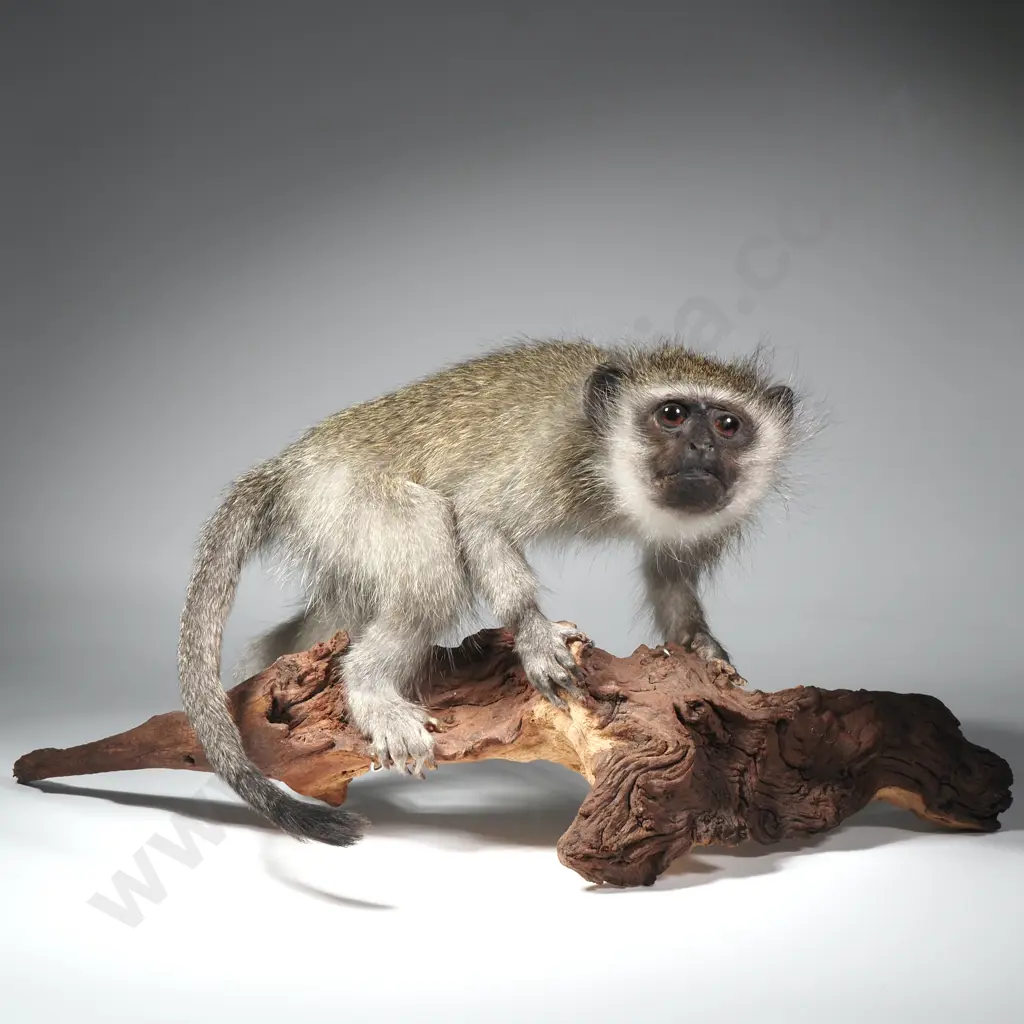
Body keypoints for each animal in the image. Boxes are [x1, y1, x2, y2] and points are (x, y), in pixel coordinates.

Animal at [178, 338, 806, 847]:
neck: (609, 464)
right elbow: (478, 516)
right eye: (673, 415)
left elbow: (670, 575)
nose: (701, 449)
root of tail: (291, 465)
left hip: (331, 521)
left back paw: (270, 677)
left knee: (335, 611)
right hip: (347, 496)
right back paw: (368, 687)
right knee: (432, 557)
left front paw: (700, 648)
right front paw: (534, 635)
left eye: (728, 425)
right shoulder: (553, 458)